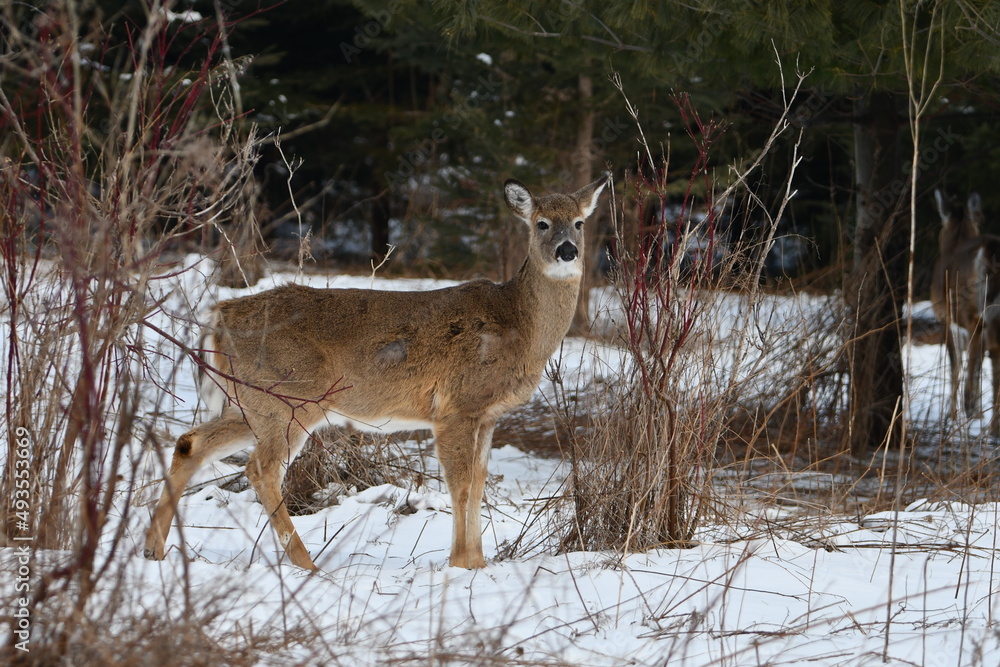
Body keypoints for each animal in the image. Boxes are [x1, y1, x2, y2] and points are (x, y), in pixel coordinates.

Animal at [144, 174, 610, 570]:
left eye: (580, 223)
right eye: (542, 223)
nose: (567, 250)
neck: (517, 324)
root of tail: (218, 315)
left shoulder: (488, 414)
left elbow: (478, 482)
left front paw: (478, 563)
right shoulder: (456, 406)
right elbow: (460, 484)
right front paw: (461, 562)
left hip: (248, 402)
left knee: (190, 443)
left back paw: (155, 549)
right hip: (289, 397)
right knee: (261, 469)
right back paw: (306, 564)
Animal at [930, 189, 1000, 435]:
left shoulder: (946, 318)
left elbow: (955, 365)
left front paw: (954, 415)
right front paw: (978, 413)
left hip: (972, 310)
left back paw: (969, 405)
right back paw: (992, 425)